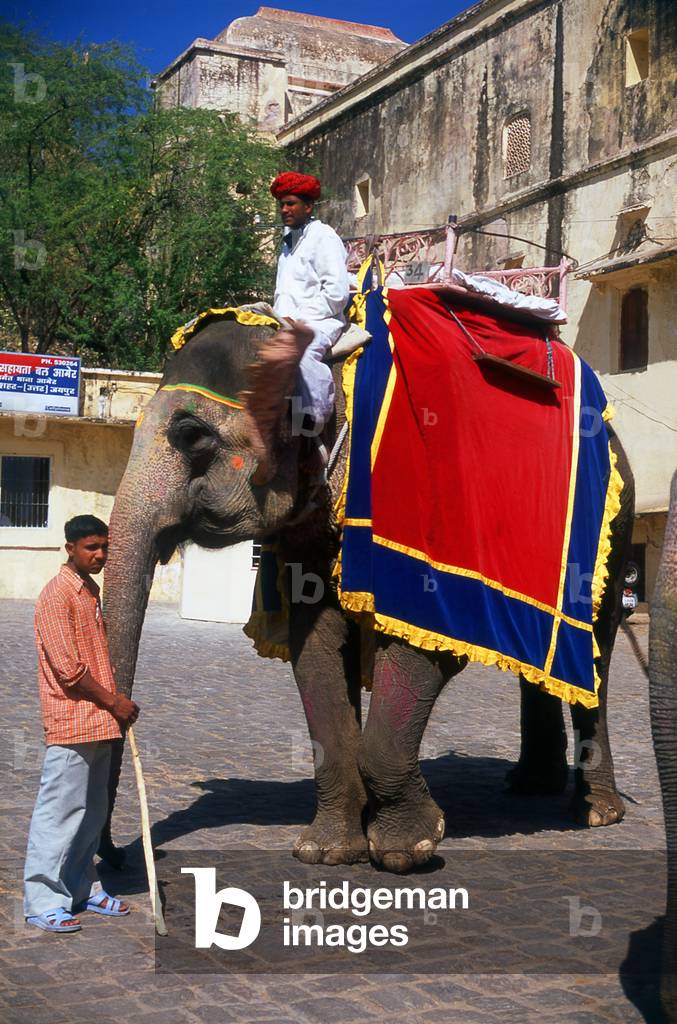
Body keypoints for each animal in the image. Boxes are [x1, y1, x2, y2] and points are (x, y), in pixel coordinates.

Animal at [101, 314, 635, 873]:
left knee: (596, 654)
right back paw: (530, 786)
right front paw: (327, 852)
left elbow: (418, 642)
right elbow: (315, 647)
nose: (117, 856)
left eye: (193, 437)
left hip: (610, 536)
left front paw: (408, 849)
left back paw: (596, 813)